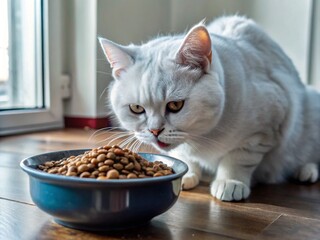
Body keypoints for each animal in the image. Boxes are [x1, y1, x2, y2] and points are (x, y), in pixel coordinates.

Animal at [100, 15, 320, 201]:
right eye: (136, 108)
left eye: (175, 105)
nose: (154, 131)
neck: (199, 138)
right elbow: (183, 156)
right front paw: (189, 174)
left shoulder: (262, 130)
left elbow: (238, 158)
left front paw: (230, 182)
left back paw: (306, 171)